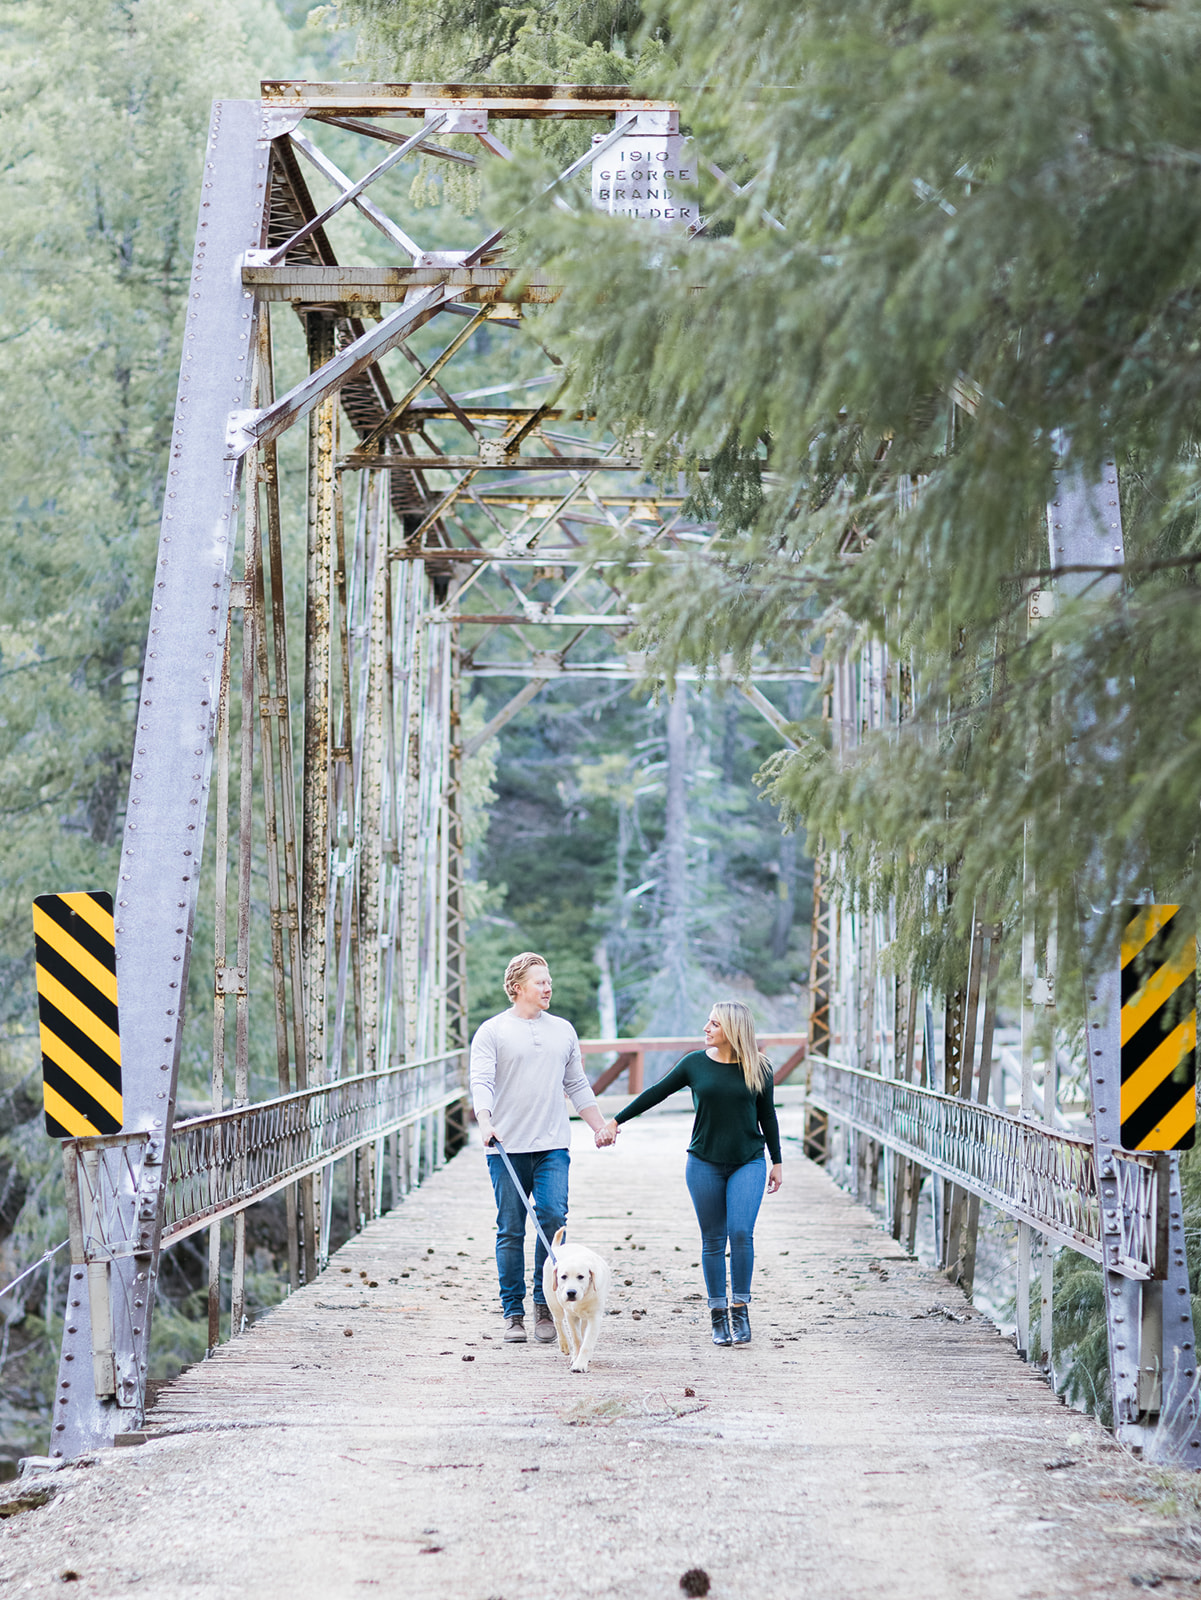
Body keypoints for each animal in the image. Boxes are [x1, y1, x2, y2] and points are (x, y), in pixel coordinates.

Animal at [543, 1222, 610, 1376]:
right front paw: (576, 1358)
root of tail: (556, 1249)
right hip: (553, 1301)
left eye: (581, 1277)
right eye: (563, 1276)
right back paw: (565, 1345)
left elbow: (587, 1343)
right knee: (557, 1321)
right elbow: (577, 1339)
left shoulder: (595, 1318)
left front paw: (580, 1364)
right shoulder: (570, 1316)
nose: (571, 1292)